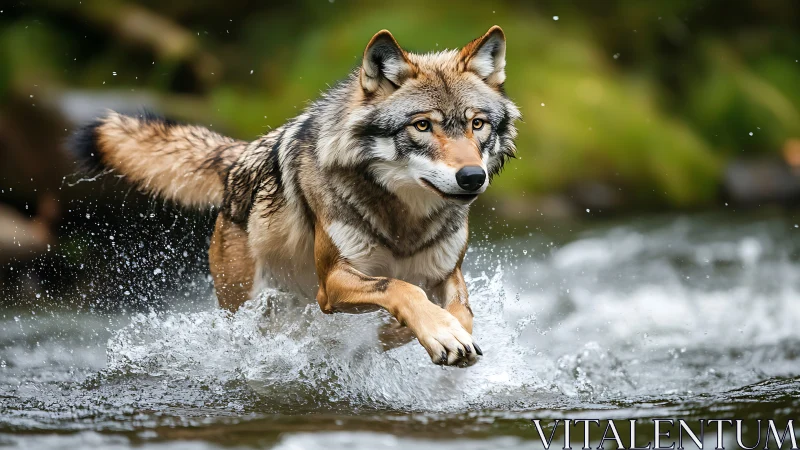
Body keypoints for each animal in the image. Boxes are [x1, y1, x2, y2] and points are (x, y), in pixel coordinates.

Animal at [70, 26, 520, 367]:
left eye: (477, 124)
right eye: (423, 126)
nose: (472, 177)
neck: (403, 220)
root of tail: (239, 158)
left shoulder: (446, 273)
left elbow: (461, 313)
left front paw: (424, 332)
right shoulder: (333, 284)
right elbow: (401, 288)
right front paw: (436, 332)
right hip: (249, 305)